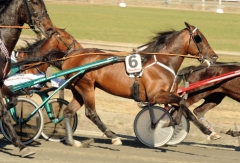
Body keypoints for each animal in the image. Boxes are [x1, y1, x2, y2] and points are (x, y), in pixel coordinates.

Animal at [14, 22, 218, 146]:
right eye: (199, 37)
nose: (214, 56)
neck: (161, 62)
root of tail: (70, 55)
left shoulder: (166, 95)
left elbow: (186, 109)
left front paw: (209, 132)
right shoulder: (156, 95)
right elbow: (181, 104)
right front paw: (167, 122)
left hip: (79, 89)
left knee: (69, 111)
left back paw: (73, 141)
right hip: (86, 87)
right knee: (91, 113)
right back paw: (113, 137)